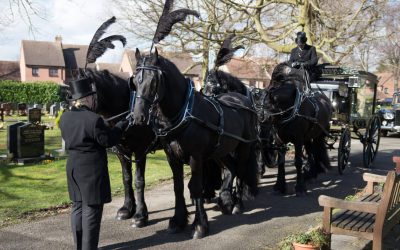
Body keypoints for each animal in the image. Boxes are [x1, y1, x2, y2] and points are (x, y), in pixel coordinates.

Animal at [130, 48, 258, 238]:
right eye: (134, 81)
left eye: (153, 81)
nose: (138, 117)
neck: (184, 113)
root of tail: (243, 99)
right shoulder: (172, 157)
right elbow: (178, 187)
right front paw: (178, 221)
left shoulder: (195, 157)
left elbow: (195, 187)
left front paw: (199, 225)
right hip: (220, 150)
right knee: (231, 168)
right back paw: (226, 200)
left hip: (244, 147)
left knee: (240, 170)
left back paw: (237, 204)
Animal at [264, 62, 332, 195]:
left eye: (275, 100)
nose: (264, 117)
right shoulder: (279, 141)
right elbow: (281, 162)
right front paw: (279, 186)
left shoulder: (298, 140)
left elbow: (298, 161)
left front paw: (300, 187)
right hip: (309, 137)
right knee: (311, 153)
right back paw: (312, 174)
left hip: (318, 135)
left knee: (315, 152)